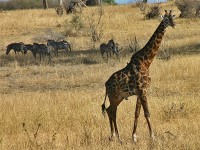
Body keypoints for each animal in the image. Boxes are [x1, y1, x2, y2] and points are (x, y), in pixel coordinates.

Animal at [101, 9, 175, 142]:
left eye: (173, 17)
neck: (146, 62)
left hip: (119, 96)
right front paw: (153, 137)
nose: (173, 24)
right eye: (166, 19)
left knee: (110, 110)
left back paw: (114, 136)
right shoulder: (142, 90)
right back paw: (117, 137)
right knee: (112, 111)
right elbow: (147, 113)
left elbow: (137, 113)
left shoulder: (140, 91)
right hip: (114, 96)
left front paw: (134, 137)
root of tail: (106, 84)